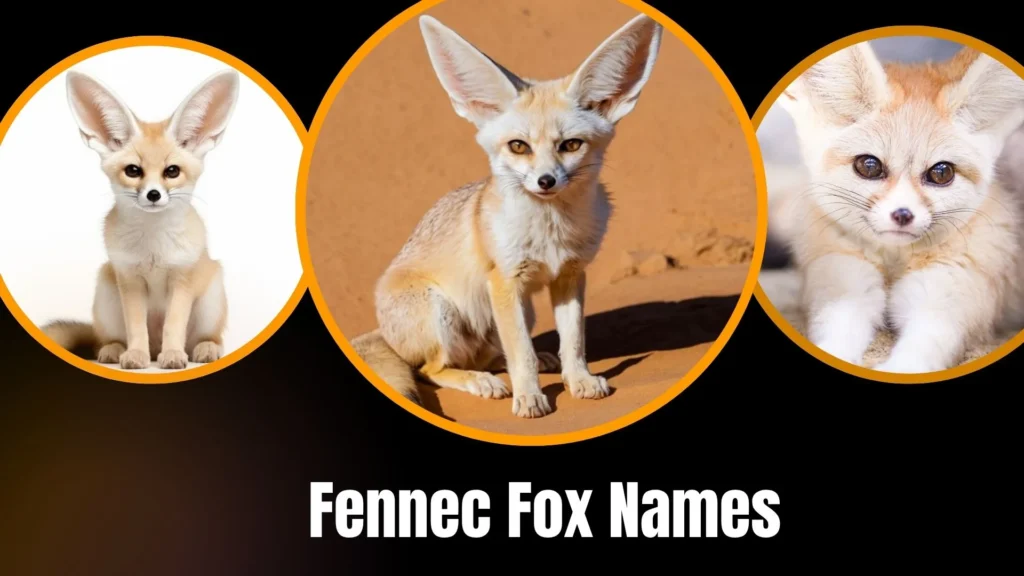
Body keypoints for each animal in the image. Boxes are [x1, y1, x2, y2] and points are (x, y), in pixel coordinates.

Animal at [40, 68, 240, 370]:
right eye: (133, 171)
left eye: (172, 171)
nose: (154, 194)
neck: (153, 246)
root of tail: (154, 348)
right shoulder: (130, 280)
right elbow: (136, 328)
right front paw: (135, 355)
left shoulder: (181, 279)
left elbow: (174, 327)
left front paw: (173, 355)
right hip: (106, 291)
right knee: (106, 339)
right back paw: (115, 350)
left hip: (211, 297)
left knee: (207, 338)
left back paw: (203, 349)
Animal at [349, 14, 663, 417]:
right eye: (518, 146)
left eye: (571, 145)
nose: (546, 181)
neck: (550, 232)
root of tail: (384, 333)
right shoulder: (505, 281)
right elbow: (521, 356)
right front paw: (530, 397)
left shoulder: (570, 275)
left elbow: (572, 342)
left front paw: (578, 381)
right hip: (442, 311)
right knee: (431, 369)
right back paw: (479, 381)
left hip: (521, 312)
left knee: (492, 354)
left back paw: (523, 364)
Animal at [774, 41, 1024, 373]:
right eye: (869, 166)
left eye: (941, 173)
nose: (903, 215)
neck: (894, 264)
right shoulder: (845, 286)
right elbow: (835, 338)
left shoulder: (944, 304)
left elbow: (918, 354)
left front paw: (898, 368)